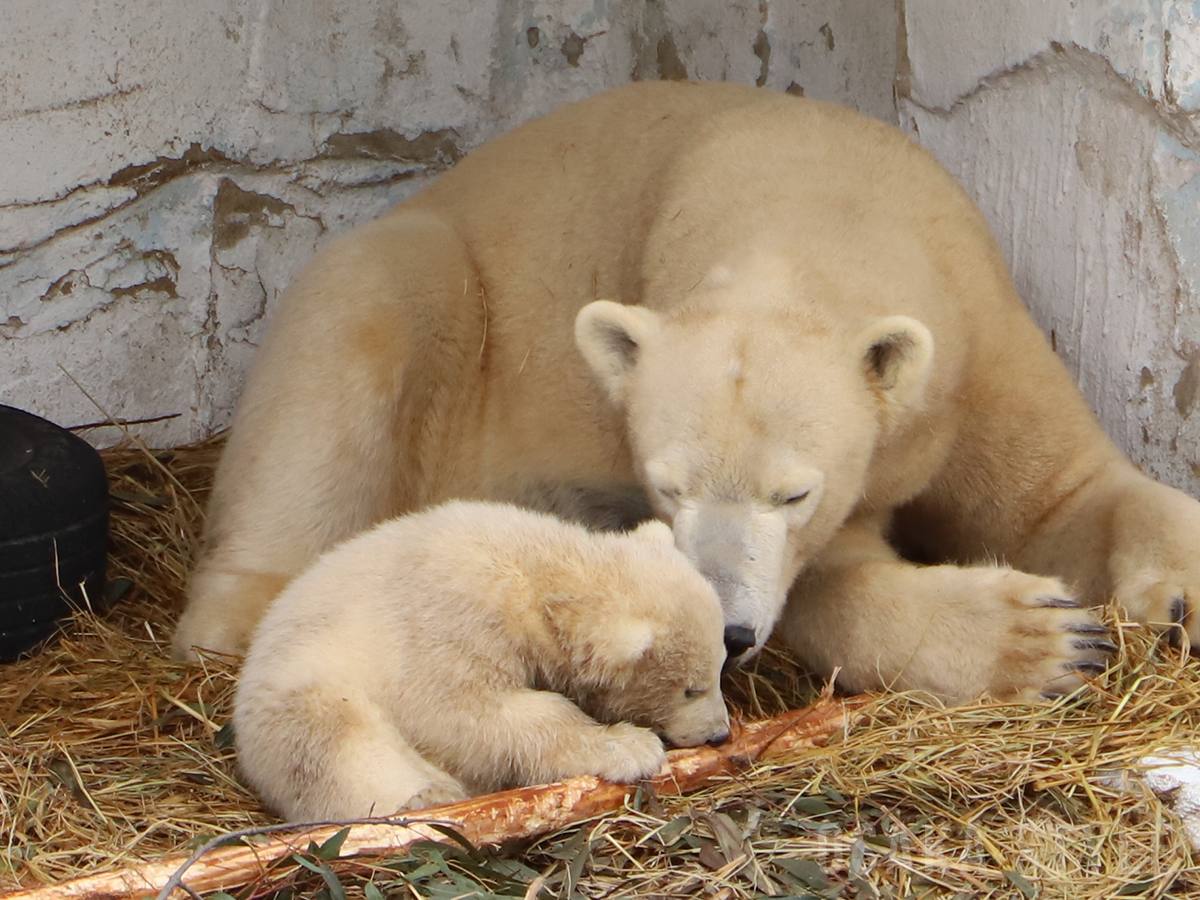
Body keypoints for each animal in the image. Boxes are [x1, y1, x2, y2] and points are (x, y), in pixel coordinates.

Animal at [174, 79, 1195, 705]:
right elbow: (835, 581)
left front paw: (1173, 597)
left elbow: (1064, 495)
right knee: (360, 326)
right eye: (666, 487)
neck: (822, 205)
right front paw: (1047, 638)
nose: (730, 631)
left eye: (795, 490)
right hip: (438, 293)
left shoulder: (976, 339)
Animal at [229, 504, 724, 820]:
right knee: (337, 745)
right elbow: (468, 713)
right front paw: (630, 746)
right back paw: (430, 794)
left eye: (720, 669)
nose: (720, 734)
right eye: (690, 688)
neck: (536, 571)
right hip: (303, 695)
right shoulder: (455, 620)